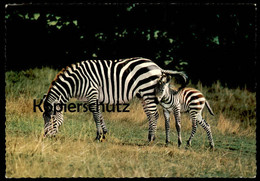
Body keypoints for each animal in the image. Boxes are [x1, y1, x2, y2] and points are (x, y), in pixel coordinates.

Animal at [42, 57, 187, 142]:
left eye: (53, 119)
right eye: (44, 118)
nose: (45, 136)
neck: (76, 82)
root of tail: (158, 67)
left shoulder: (92, 92)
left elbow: (95, 116)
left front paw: (98, 136)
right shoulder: (94, 97)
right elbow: (100, 115)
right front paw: (104, 134)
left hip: (148, 92)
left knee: (154, 114)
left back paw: (151, 138)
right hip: (143, 95)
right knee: (151, 115)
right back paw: (150, 137)